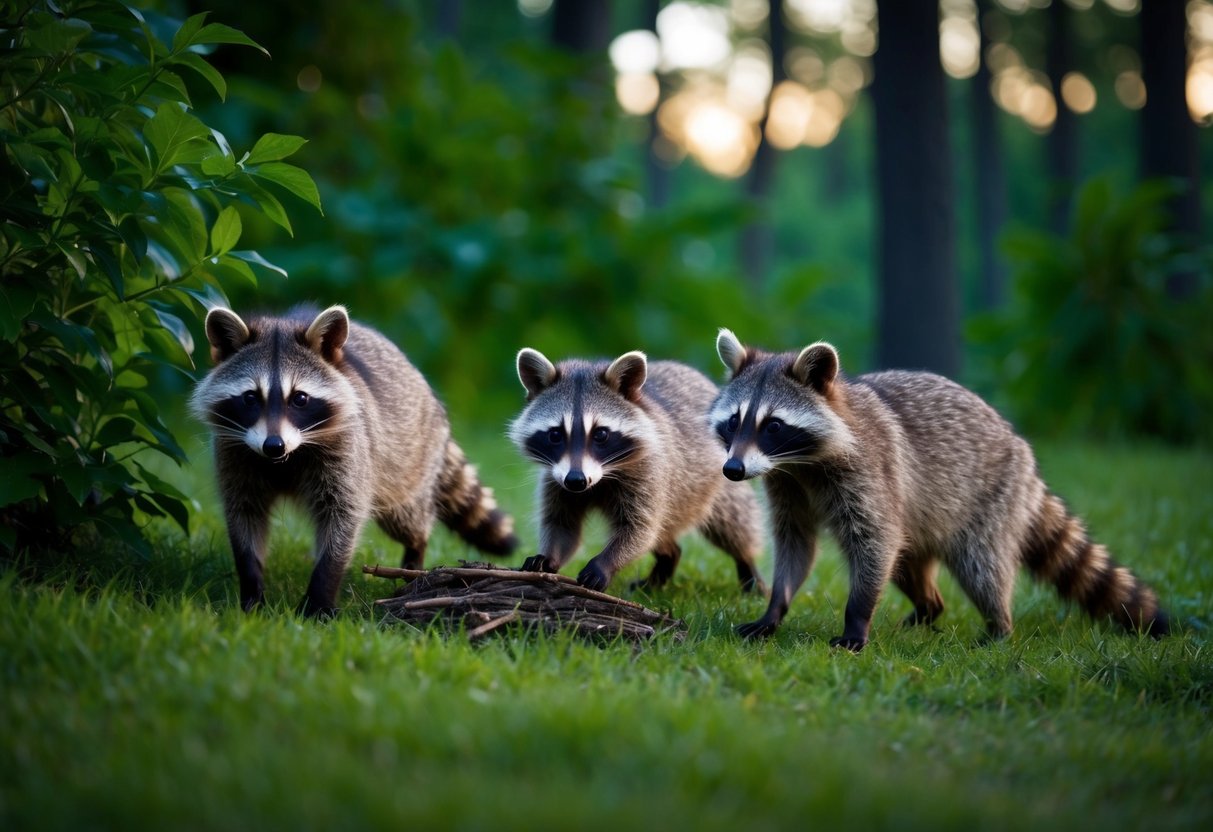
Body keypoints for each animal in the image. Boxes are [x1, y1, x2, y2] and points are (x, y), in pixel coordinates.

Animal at [190, 305, 518, 616]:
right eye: (250, 397)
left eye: (299, 398)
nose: (273, 446)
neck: (286, 458)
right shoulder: (235, 454)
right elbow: (244, 515)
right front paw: (251, 591)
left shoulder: (349, 452)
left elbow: (343, 518)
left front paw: (319, 596)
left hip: (407, 459)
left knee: (408, 518)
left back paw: (416, 553)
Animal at [509, 348, 765, 593]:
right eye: (555, 434)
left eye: (601, 434)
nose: (576, 480)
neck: (601, 478)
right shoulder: (556, 479)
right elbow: (562, 524)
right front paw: (549, 556)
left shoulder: (650, 472)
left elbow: (640, 529)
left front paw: (605, 563)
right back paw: (665, 564)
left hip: (715, 480)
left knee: (733, 521)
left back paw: (748, 564)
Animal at [711, 329, 1169, 651]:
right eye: (734, 421)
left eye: (773, 426)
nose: (732, 470)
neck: (799, 464)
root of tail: (1021, 450)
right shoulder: (787, 487)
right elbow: (797, 544)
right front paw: (776, 607)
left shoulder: (870, 474)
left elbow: (875, 542)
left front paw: (856, 619)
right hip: (924, 521)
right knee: (906, 565)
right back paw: (928, 609)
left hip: (992, 499)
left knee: (981, 566)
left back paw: (998, 626)